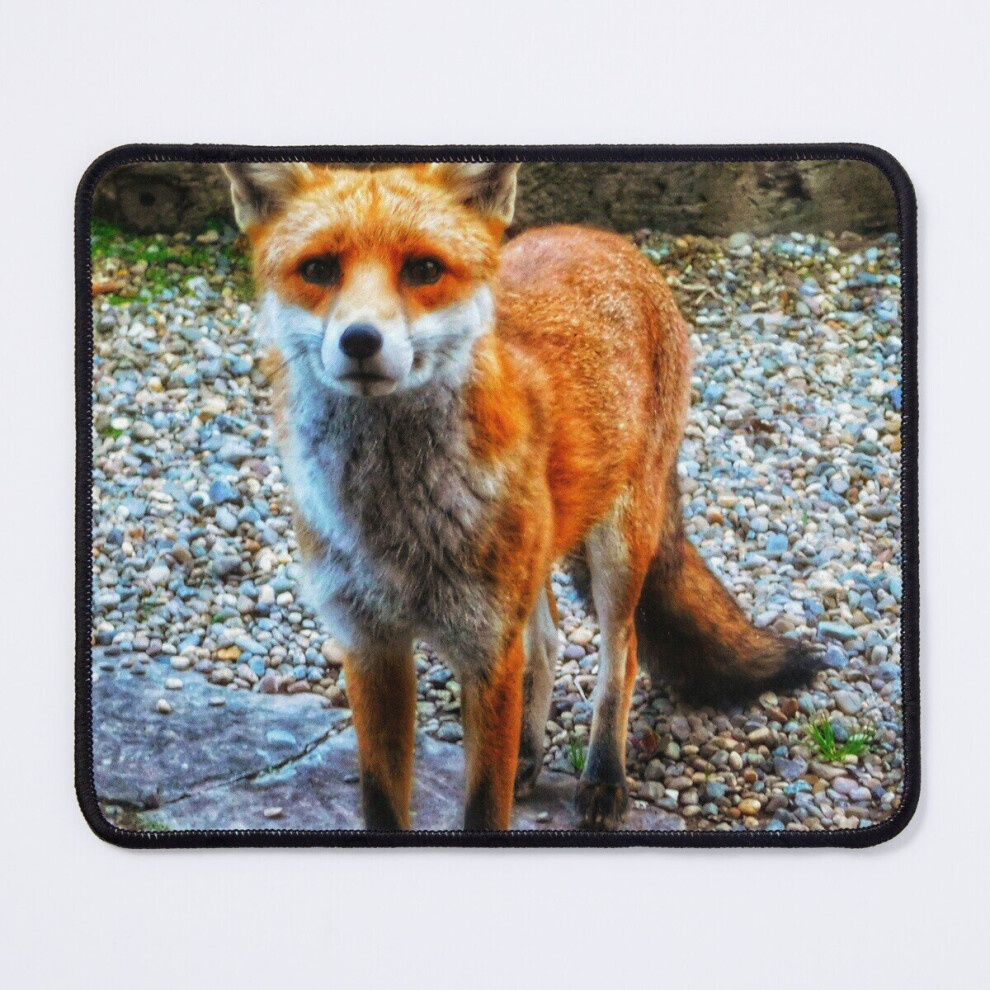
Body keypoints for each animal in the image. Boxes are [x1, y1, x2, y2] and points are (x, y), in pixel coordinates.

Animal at [222, 160, 822, 831]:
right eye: (320, 269)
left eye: (423, 269)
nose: (359, 340)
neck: (393, 521)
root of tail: (597, 233)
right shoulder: (370, 646)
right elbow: (383, 801)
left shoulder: (487, 653)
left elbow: (486, 804)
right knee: (549, 638)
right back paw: (530, 755)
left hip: (617, 550)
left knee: (624, 653)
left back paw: (604, 776)